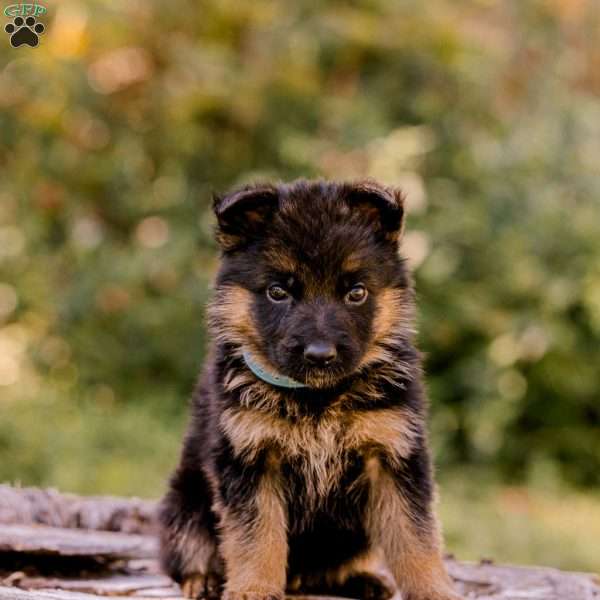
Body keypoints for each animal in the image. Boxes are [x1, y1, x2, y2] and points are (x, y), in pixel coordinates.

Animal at [158, 180, 460, 600]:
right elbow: (256, 536)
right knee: (190, 547)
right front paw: (253, 589)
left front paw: (434, 590)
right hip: (185, 502)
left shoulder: (394, 455)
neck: (317, 398)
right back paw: (201, 579)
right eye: (278, 292)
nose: (320, 355)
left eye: (356, 293)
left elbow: (416, 535)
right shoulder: (250, 457)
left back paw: (362, 579)